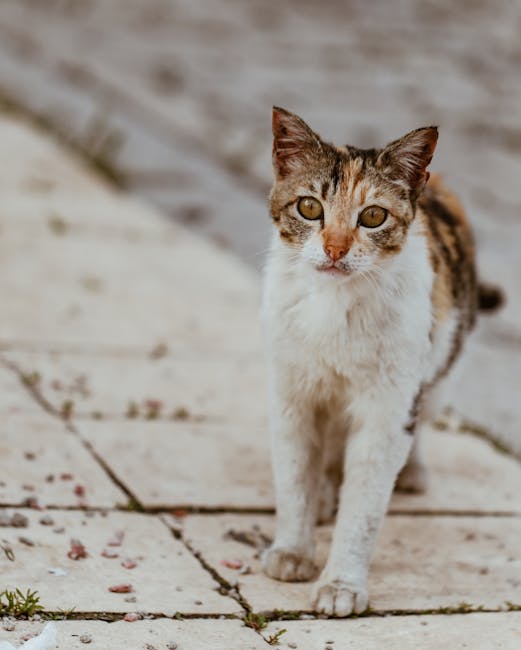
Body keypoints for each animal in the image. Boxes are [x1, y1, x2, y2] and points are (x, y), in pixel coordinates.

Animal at [262, 105, 502, 612]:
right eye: (309, 207)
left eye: (372, 216)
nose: (335, 248)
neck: (334, 308)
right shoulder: (291, 391)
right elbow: (293, 476)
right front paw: (293, 550)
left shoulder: (388, 409)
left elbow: (366, 501)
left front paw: (341, 585)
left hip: (438, 371)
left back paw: (409, 471)